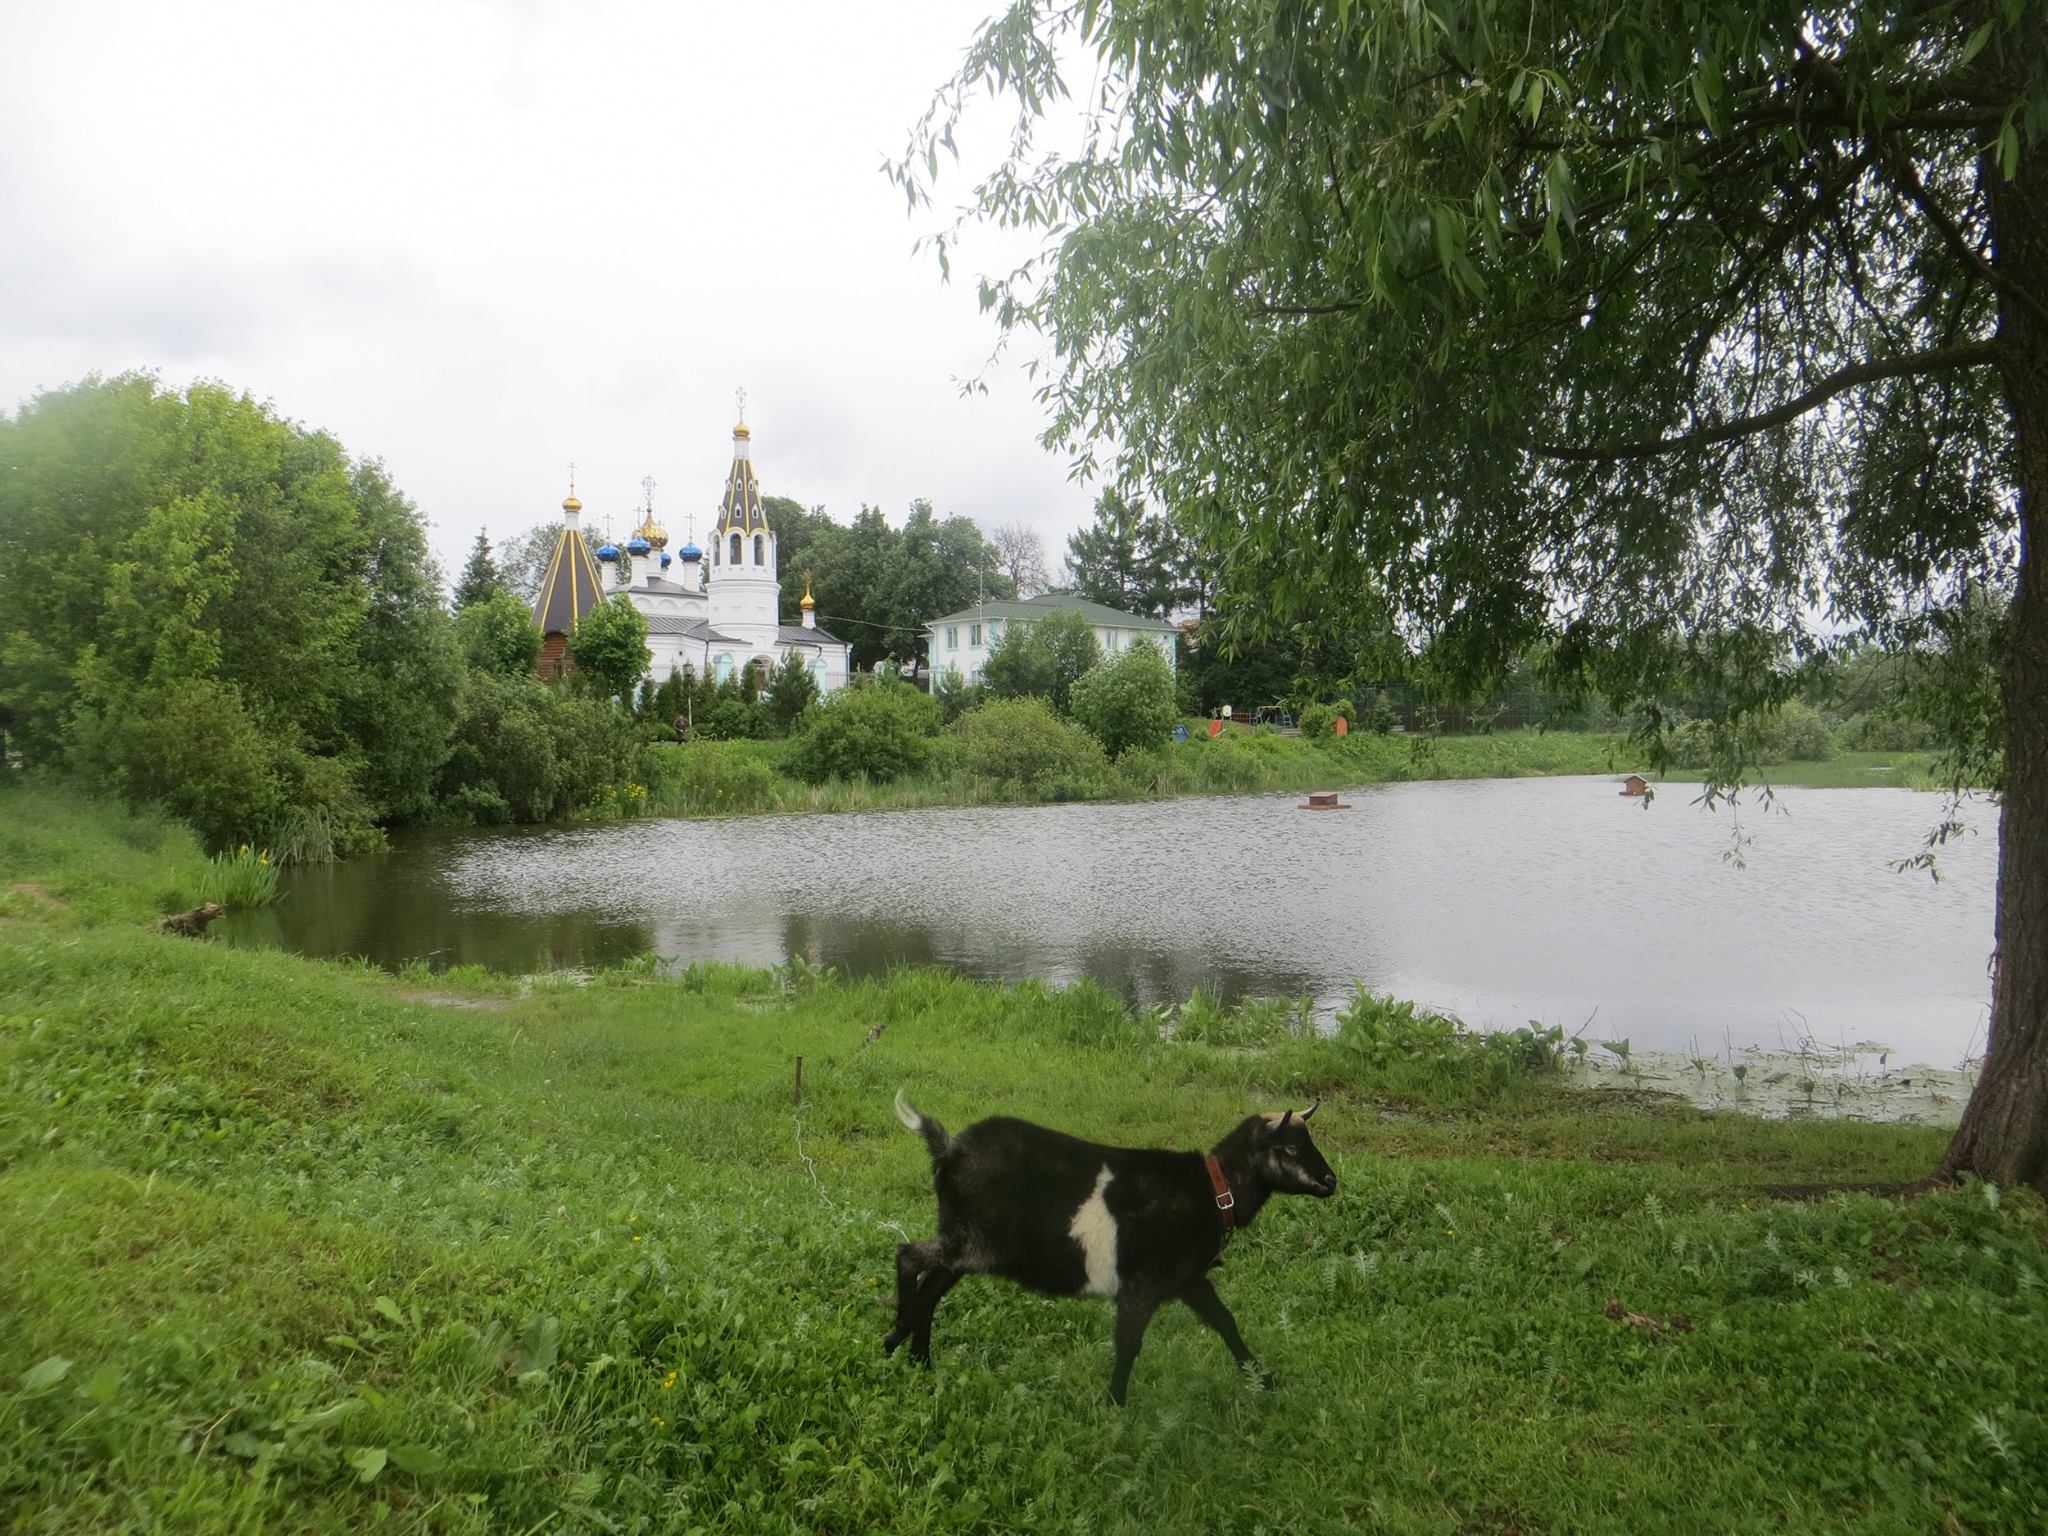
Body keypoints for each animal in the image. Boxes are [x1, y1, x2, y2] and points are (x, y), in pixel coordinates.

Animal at [884, 1097, 1335, 1409]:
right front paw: (1114, 1404)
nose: (1330, 1181)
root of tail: (947, 1151)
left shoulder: (1188, 1278)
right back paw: (896, 1336)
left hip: (969, 1246)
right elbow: (1128, 1344)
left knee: (931, 1290)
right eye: (1290, 1149)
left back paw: (916, 1358)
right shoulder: (1143, 1285)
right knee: (908, 1257)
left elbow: (1225, 1322)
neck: (1214, 1191)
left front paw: (1265, 1380)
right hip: (974, 1241)